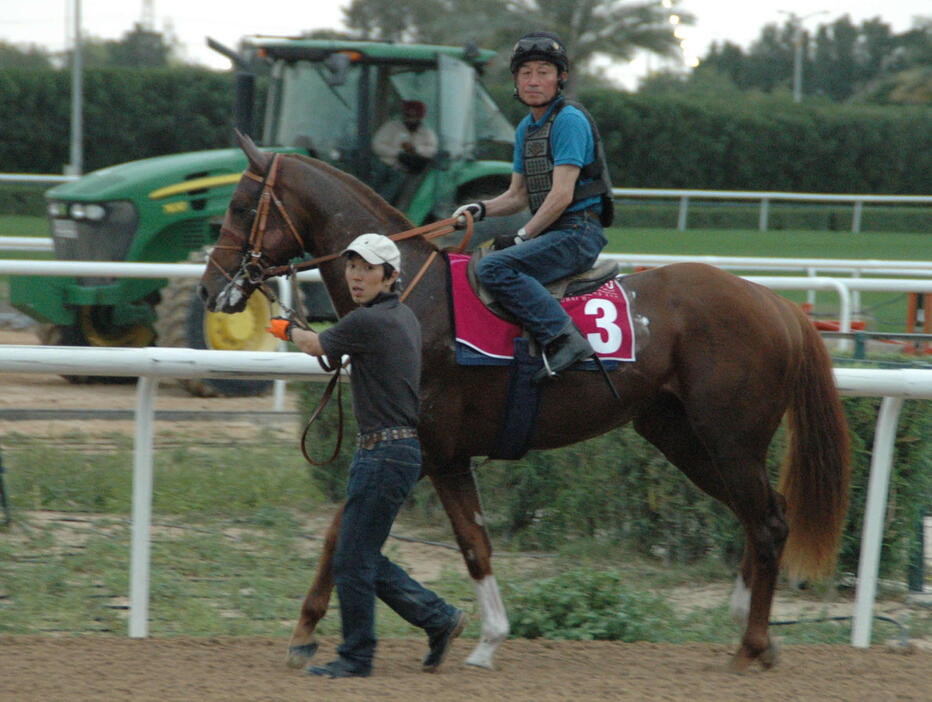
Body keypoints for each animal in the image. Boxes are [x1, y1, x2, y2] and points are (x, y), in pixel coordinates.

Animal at [198, 133, 852, 676]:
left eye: (238, 207)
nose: (209, 288)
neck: (413, 295)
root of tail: (778, 304)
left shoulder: (431, 450)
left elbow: (381, 537)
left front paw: (312, 633)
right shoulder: (438, 455)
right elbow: (438, 543)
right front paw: (479, 639)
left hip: (730, 441)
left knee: (768, 522)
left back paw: (751, 644)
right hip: (682, 438)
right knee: (759, 516)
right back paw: (749, 629)